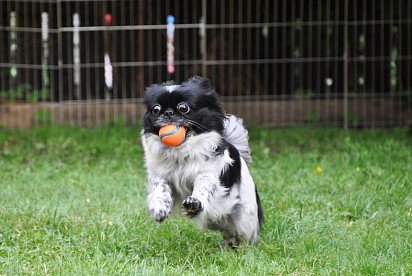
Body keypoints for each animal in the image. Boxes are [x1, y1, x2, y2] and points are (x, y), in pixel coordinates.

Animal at [142, 76, 264, 248]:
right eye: (155, 109)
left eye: (183, 108)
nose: (168, 112)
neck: (180, 153)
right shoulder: (160, 176)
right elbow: (161, 189)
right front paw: (159, 208)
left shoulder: (207, 174)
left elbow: (203, 188)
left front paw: (194, 203)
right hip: (215, 221)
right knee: (227, 229)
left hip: (246, 217)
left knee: (245, 233)